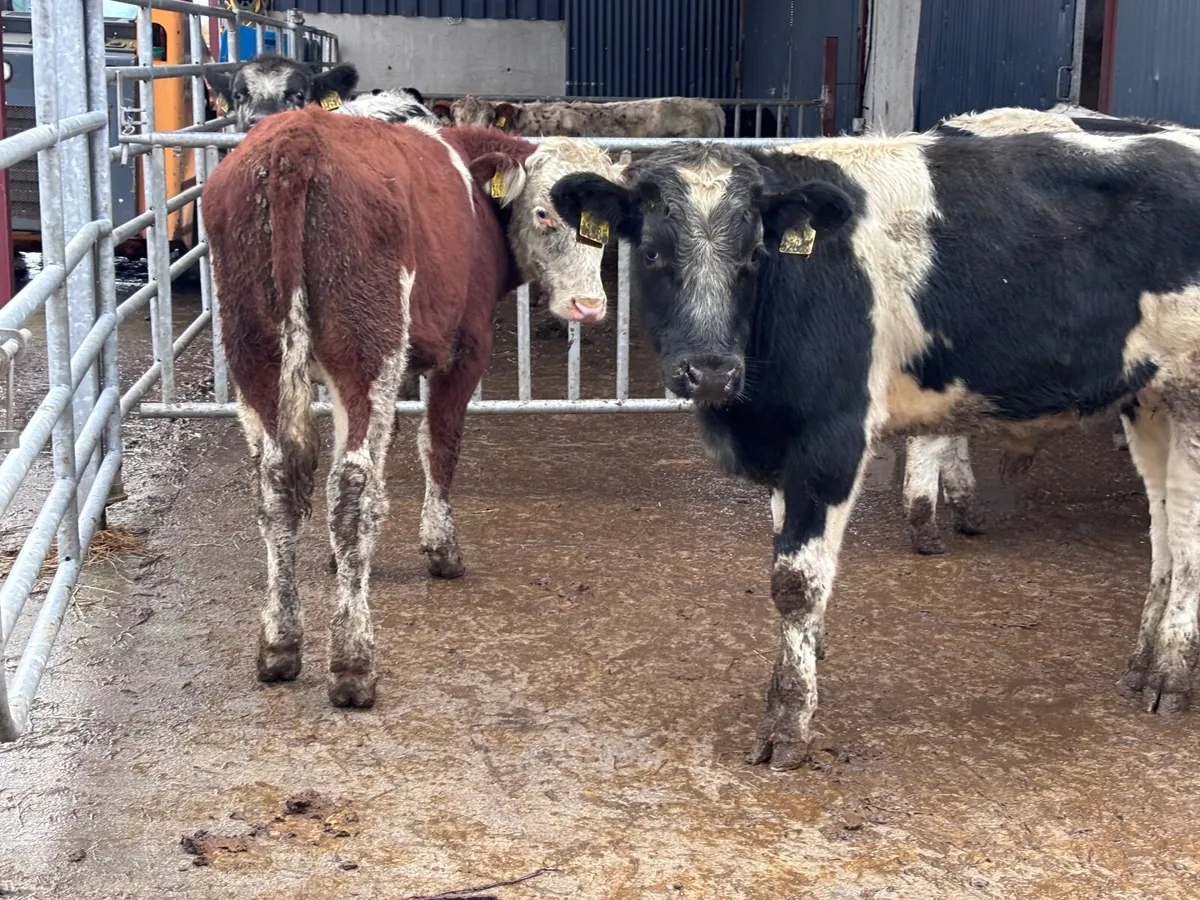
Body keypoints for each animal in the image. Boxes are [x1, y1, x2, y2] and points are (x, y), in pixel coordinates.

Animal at [203, 108, 621, 708]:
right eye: (543, 212)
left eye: (609, 226)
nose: (588, 306)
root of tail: (296, 138)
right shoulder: (465, 348)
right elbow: (440, 444)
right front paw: (442, 547)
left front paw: (342, 562)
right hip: (368, 345)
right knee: (352, 486)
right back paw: (353, 663)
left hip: (251, 353)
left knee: (277, 483)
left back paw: (280, 644)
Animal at [551, 127, 1200, 767]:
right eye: (653, 253)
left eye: (754, 255)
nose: (710, 371)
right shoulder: (786, 451)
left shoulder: (833, 438)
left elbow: (796, 583)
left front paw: (788, 724)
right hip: (1147, 400)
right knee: (1162, 526)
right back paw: (1141, 667)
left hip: (1192, 398)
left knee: (1188, 531)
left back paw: (1170, 677)